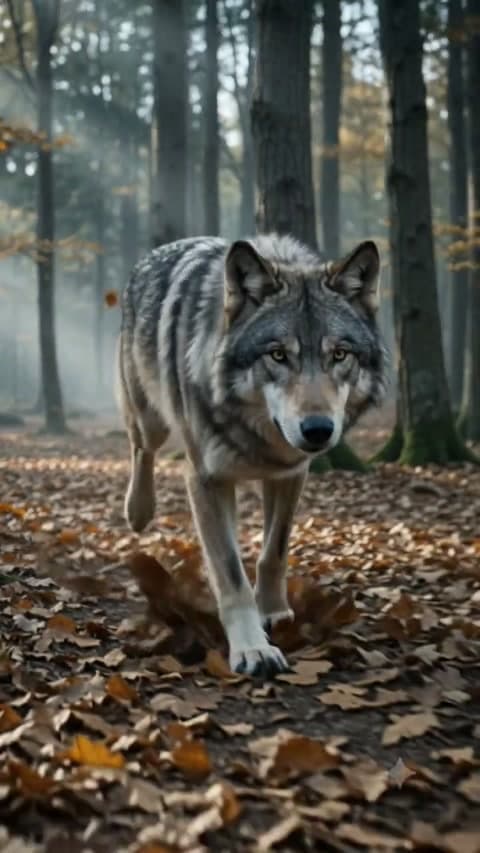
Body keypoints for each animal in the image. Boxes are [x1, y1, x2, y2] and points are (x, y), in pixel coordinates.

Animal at [117, 233, 386, 677]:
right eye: (277, 355)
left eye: (339, 355)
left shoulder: (291, 472)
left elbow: (273, 551)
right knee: (142, 449)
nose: (318, 429)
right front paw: (253, 648)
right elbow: (230, 573)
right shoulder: (205, 479)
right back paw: (138, 511)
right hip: (150, 419)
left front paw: (274, 611)